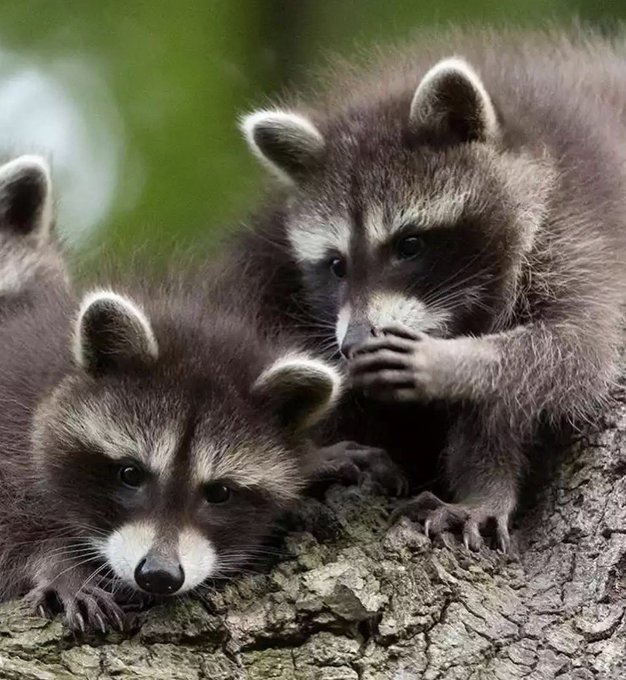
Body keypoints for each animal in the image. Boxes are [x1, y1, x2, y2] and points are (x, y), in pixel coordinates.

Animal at [0, 275, 360, 631]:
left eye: (219, 492)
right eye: (130, 474)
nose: (159, 575)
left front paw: (316, 460)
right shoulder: (12, 430)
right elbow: (14, 529)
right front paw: (59, 564)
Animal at [229, 29, 626, 551]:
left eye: (410, 245)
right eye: (336, 265)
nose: (353, 342)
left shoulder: (579, 231)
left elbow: (573, 351)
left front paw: (454, 363)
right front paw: (485, 484)